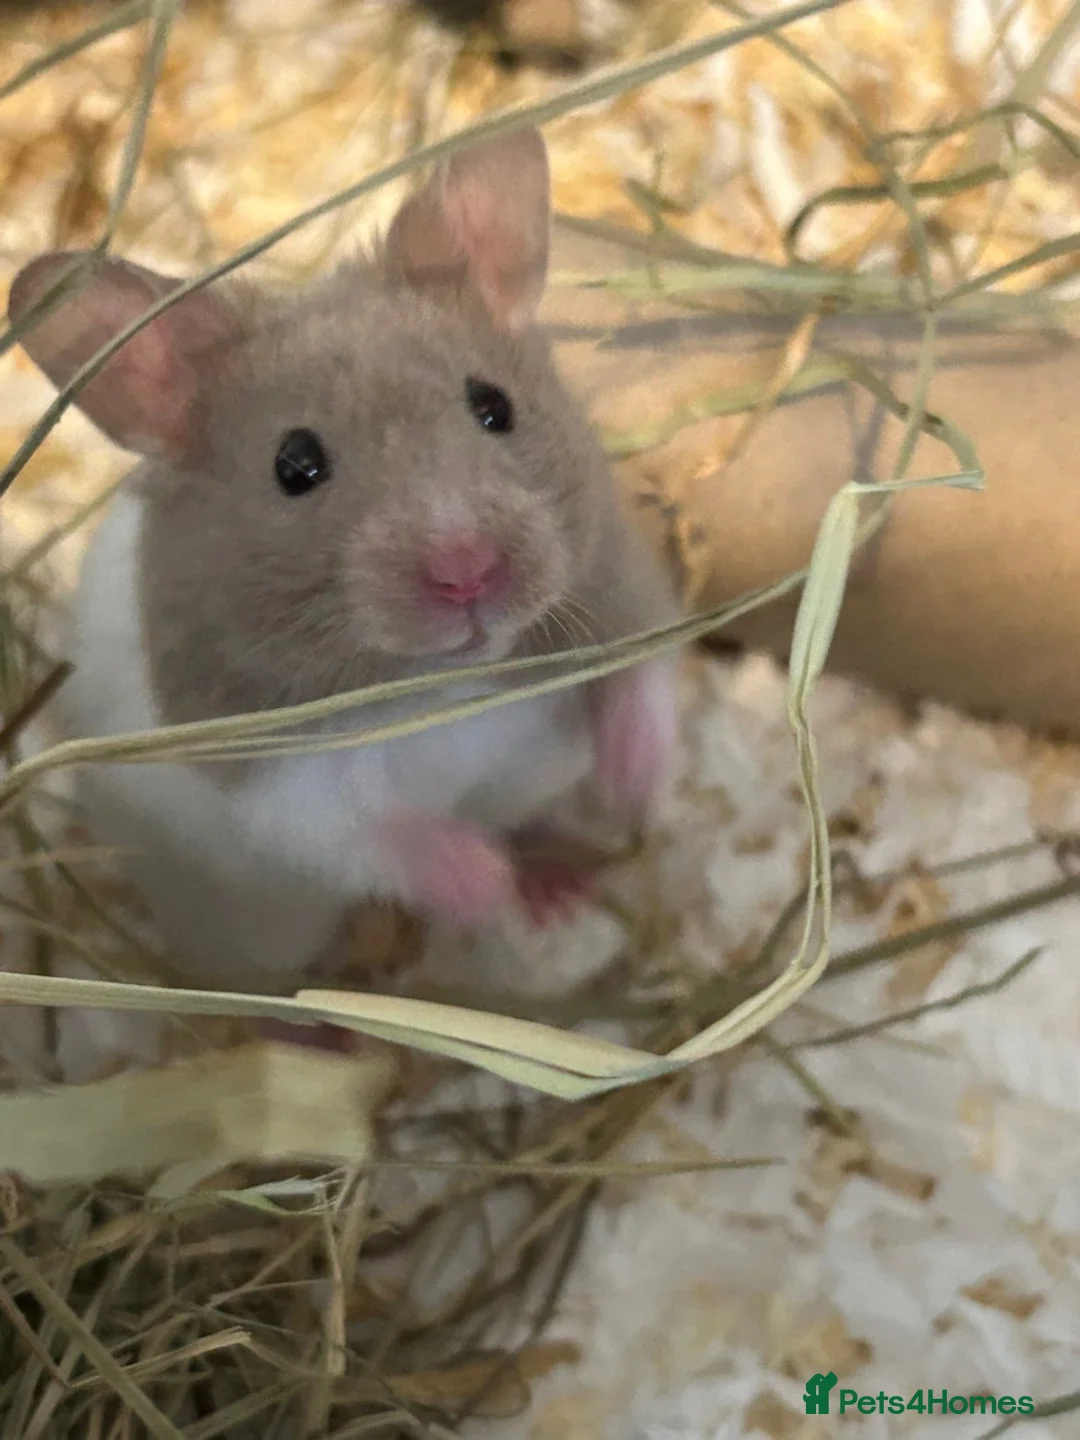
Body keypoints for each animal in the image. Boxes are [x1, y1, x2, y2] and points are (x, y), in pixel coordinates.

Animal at [8, 126, 680, 996]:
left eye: (494, 406)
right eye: (295, 466)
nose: (468, 572)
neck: (449, 681)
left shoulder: (620, 583)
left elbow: (641, 682)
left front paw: (636, 796)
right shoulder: (279, 777)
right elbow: (375, 833)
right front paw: (483, 881)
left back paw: (554, 888)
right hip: (241, 929)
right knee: (256, 984)